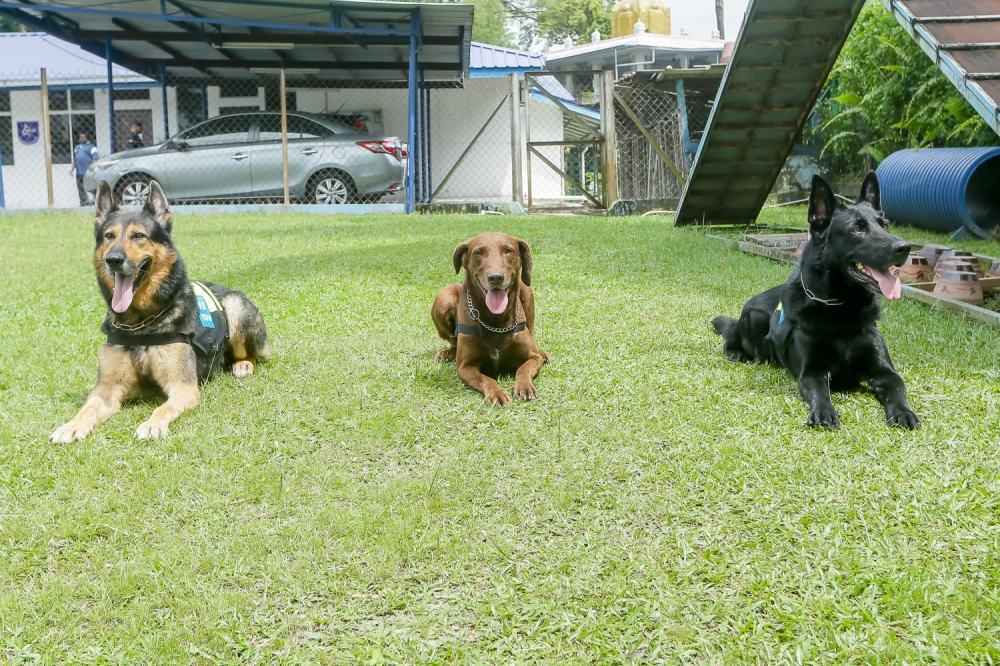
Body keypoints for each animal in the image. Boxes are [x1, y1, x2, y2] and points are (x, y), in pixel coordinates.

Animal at [49, 179, 270, 444]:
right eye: (109, 236)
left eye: (139, 236)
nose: (113, 260)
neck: (141, 324)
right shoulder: (107, 389)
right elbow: (87, 407)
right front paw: (71, 425)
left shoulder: (184, 387)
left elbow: (163, 408)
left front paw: (153, 424)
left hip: (235, 308)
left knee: (252, 354)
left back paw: (243, 365)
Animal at [716, 171, 916, 428]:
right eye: (857, 230)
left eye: (885, 225)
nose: (905, 248)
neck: (842, 309)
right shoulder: (812, 372)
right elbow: (819, 393)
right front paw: (823, 411)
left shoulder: (885, 372)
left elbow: (898, 389)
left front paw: (902, 411)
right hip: (753, 323)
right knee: (731, 336)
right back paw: (735, 351)